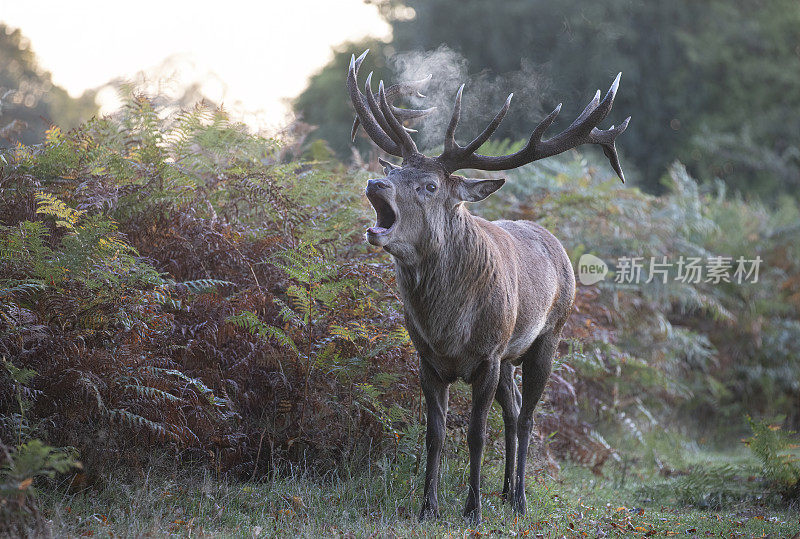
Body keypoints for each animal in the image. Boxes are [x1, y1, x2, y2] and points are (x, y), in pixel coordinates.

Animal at [346, 49, 628, 524]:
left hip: (546, 337)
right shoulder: (427, 359)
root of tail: (556, 244)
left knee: (527, 417)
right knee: (512, 413)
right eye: (396, 169)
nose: (375, 181)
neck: (446, 328)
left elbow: (476, 435)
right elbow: (435, 434)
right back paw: (506, 490)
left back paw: (520, 498)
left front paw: (472, 509)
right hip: (511, 356)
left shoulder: (488, 355)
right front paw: (428, 507)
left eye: (429, 185)